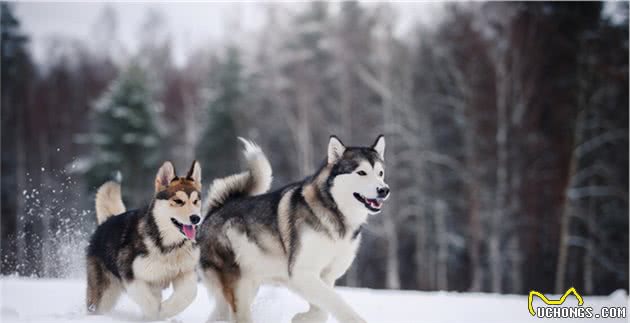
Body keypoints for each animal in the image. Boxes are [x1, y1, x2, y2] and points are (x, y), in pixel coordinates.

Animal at [201, 136, 390, 323]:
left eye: (380, 173)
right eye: (361, 172)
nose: (384, 190)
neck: (335, 212)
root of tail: (214, 210)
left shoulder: (325, 276)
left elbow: (323, 309)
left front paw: (304, 318)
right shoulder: (301, 272)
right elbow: (337, 303)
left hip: (247, 286)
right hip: (239, 287)